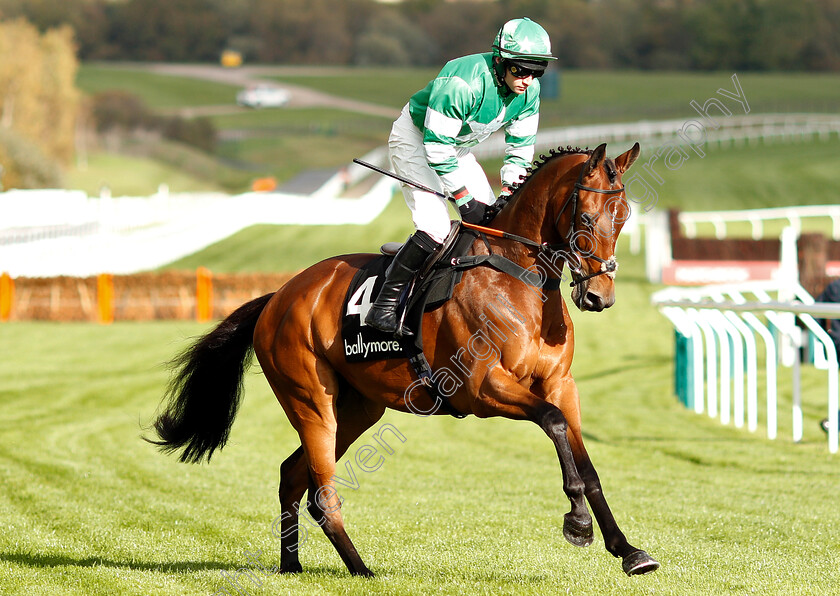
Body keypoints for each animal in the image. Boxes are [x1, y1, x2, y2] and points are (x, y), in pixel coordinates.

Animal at [146, 141, 664, 576]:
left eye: (624, 217)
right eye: (587, 217)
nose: (599, 296)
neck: (517, 276)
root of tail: (278, 296)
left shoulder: (560, 383)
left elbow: (585, 461)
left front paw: (627, 549)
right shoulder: (482, 388)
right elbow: (554, 423)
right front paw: (577, 522)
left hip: (359, 408)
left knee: (293, 476)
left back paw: (292, 566)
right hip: (312, 401)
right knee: (322, 492)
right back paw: (361, 570)